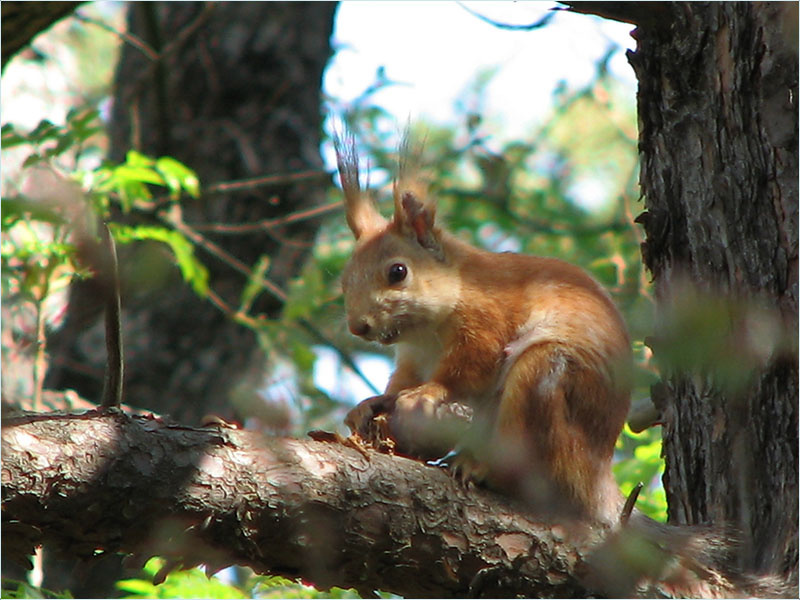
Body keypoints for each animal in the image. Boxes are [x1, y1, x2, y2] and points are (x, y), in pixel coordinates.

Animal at [334, 131, 632, 523]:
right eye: (344, 281)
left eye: (398, 272)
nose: (358, 327)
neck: (426, 332)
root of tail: (597, 479)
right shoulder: (411, 357)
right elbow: (401, 382)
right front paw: (372, 403)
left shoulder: (487, 319)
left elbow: (467, 369)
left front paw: (428, 392)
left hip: (547, 384)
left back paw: (480, 468)